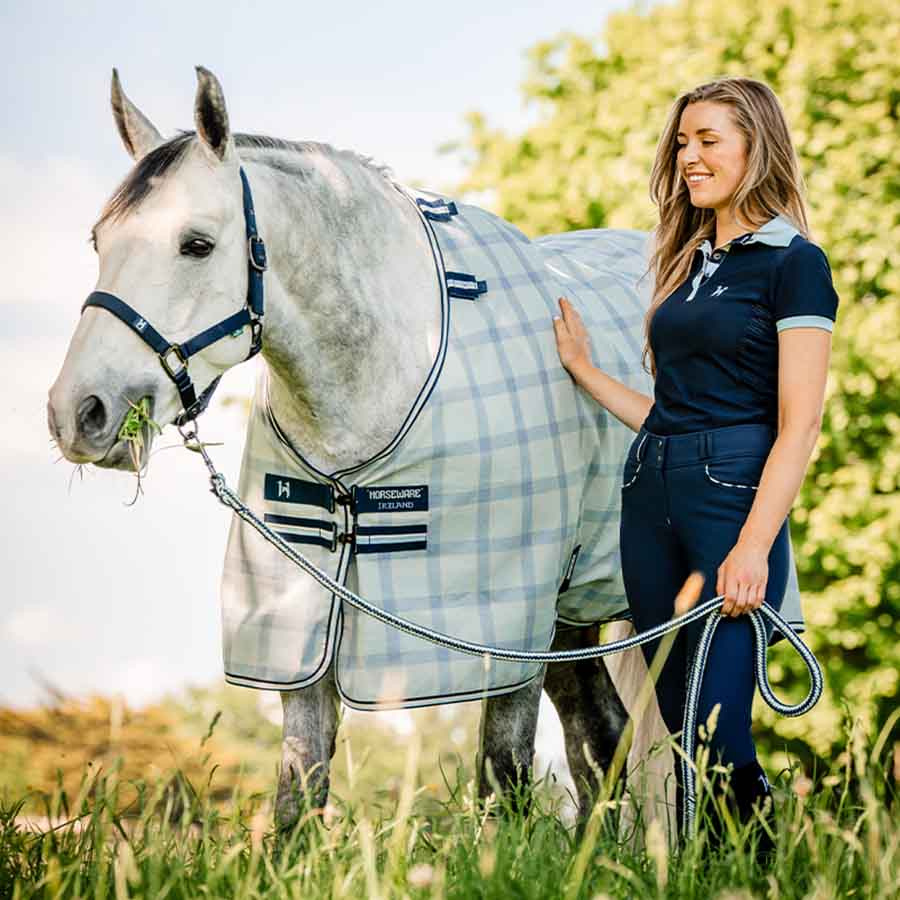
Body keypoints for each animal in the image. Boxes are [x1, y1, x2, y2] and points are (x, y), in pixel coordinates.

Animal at [48, 67, 669, 830]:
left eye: (196, 244)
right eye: (99, 241)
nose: (78, 411)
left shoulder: (500, 632)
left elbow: (501, 777)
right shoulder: (303, 633)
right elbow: (297, 796)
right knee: (601, 738)